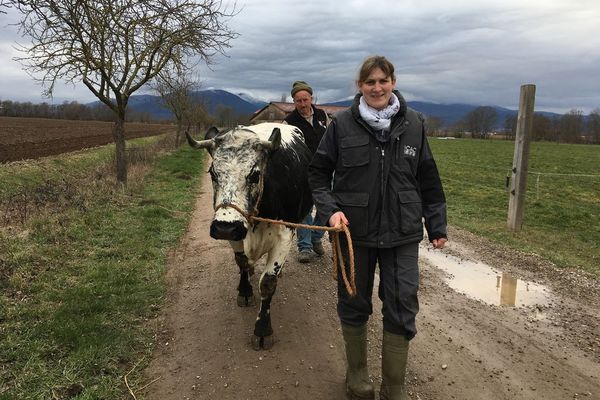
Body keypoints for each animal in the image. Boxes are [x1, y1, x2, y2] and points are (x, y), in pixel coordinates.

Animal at [185, 122, 312, 350]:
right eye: (213, 173)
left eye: (254, 175)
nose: (224, 228)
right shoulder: (236, 232)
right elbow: (242, 262)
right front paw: (244, 291)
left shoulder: (284, 234)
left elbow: (268, 282)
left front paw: (262, 330)